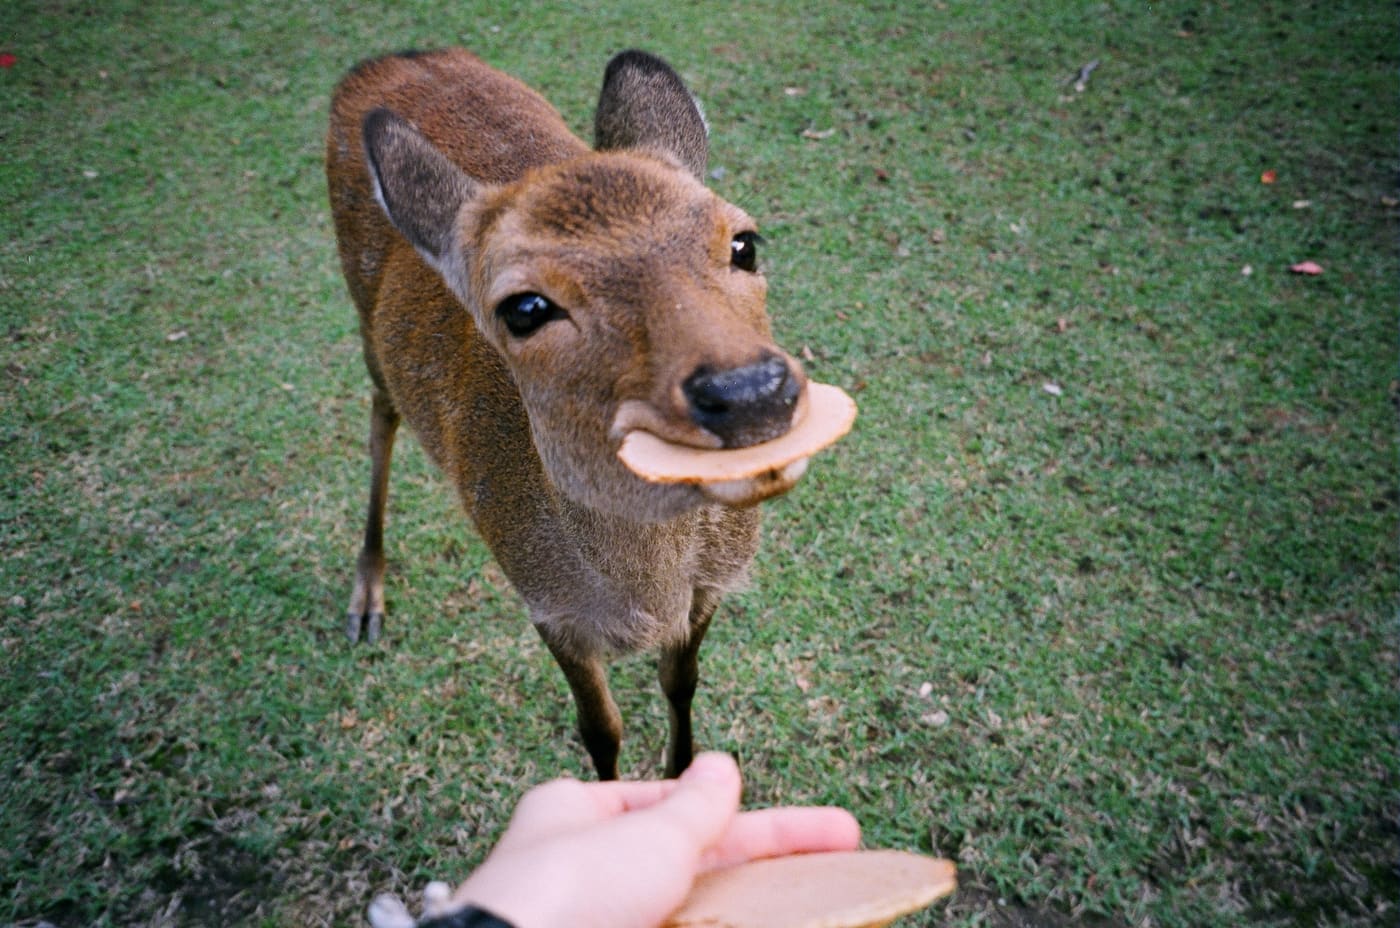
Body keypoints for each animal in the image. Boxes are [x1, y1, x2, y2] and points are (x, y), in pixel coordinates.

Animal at [325, 47, 848, 780]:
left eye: (744, 243)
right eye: (525, 308)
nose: (751, 391)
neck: (646, 593)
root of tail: (389, 59)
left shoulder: (712, 586)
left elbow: (681, 683)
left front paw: (681, 776)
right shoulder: (545, 601)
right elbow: (600, 729)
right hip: (362, 314)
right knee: (381, 417)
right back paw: (366, 599)